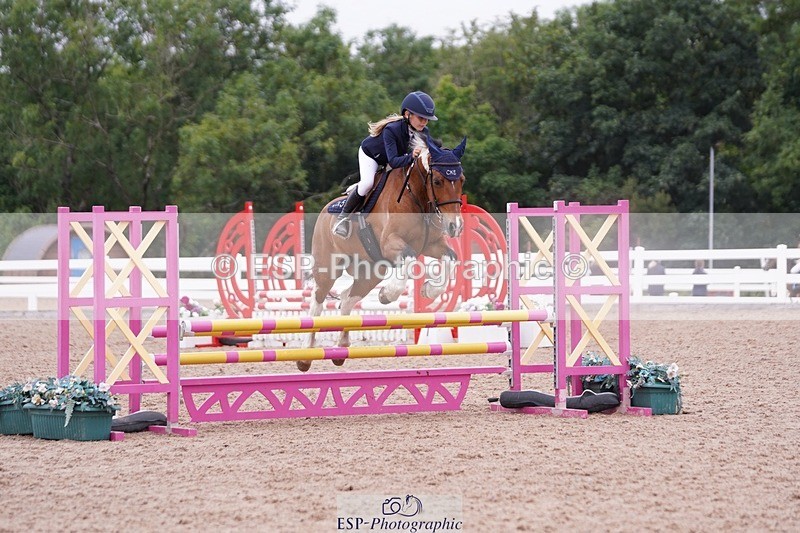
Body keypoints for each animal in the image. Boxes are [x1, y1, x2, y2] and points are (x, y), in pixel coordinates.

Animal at [298, 134, 467, 371]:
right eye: (437, 181)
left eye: (462, 180)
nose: (455, 226)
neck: (416, 196)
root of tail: (324, 210)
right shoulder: (391, 243)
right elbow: (408, 259)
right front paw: (387, 294)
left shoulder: (431, 244)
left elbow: (451, 259)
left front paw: (428, 290)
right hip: (328, 267)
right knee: (317, 303)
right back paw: (305, 356)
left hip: (371, 271)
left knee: (347, 299)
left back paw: (341, 349)